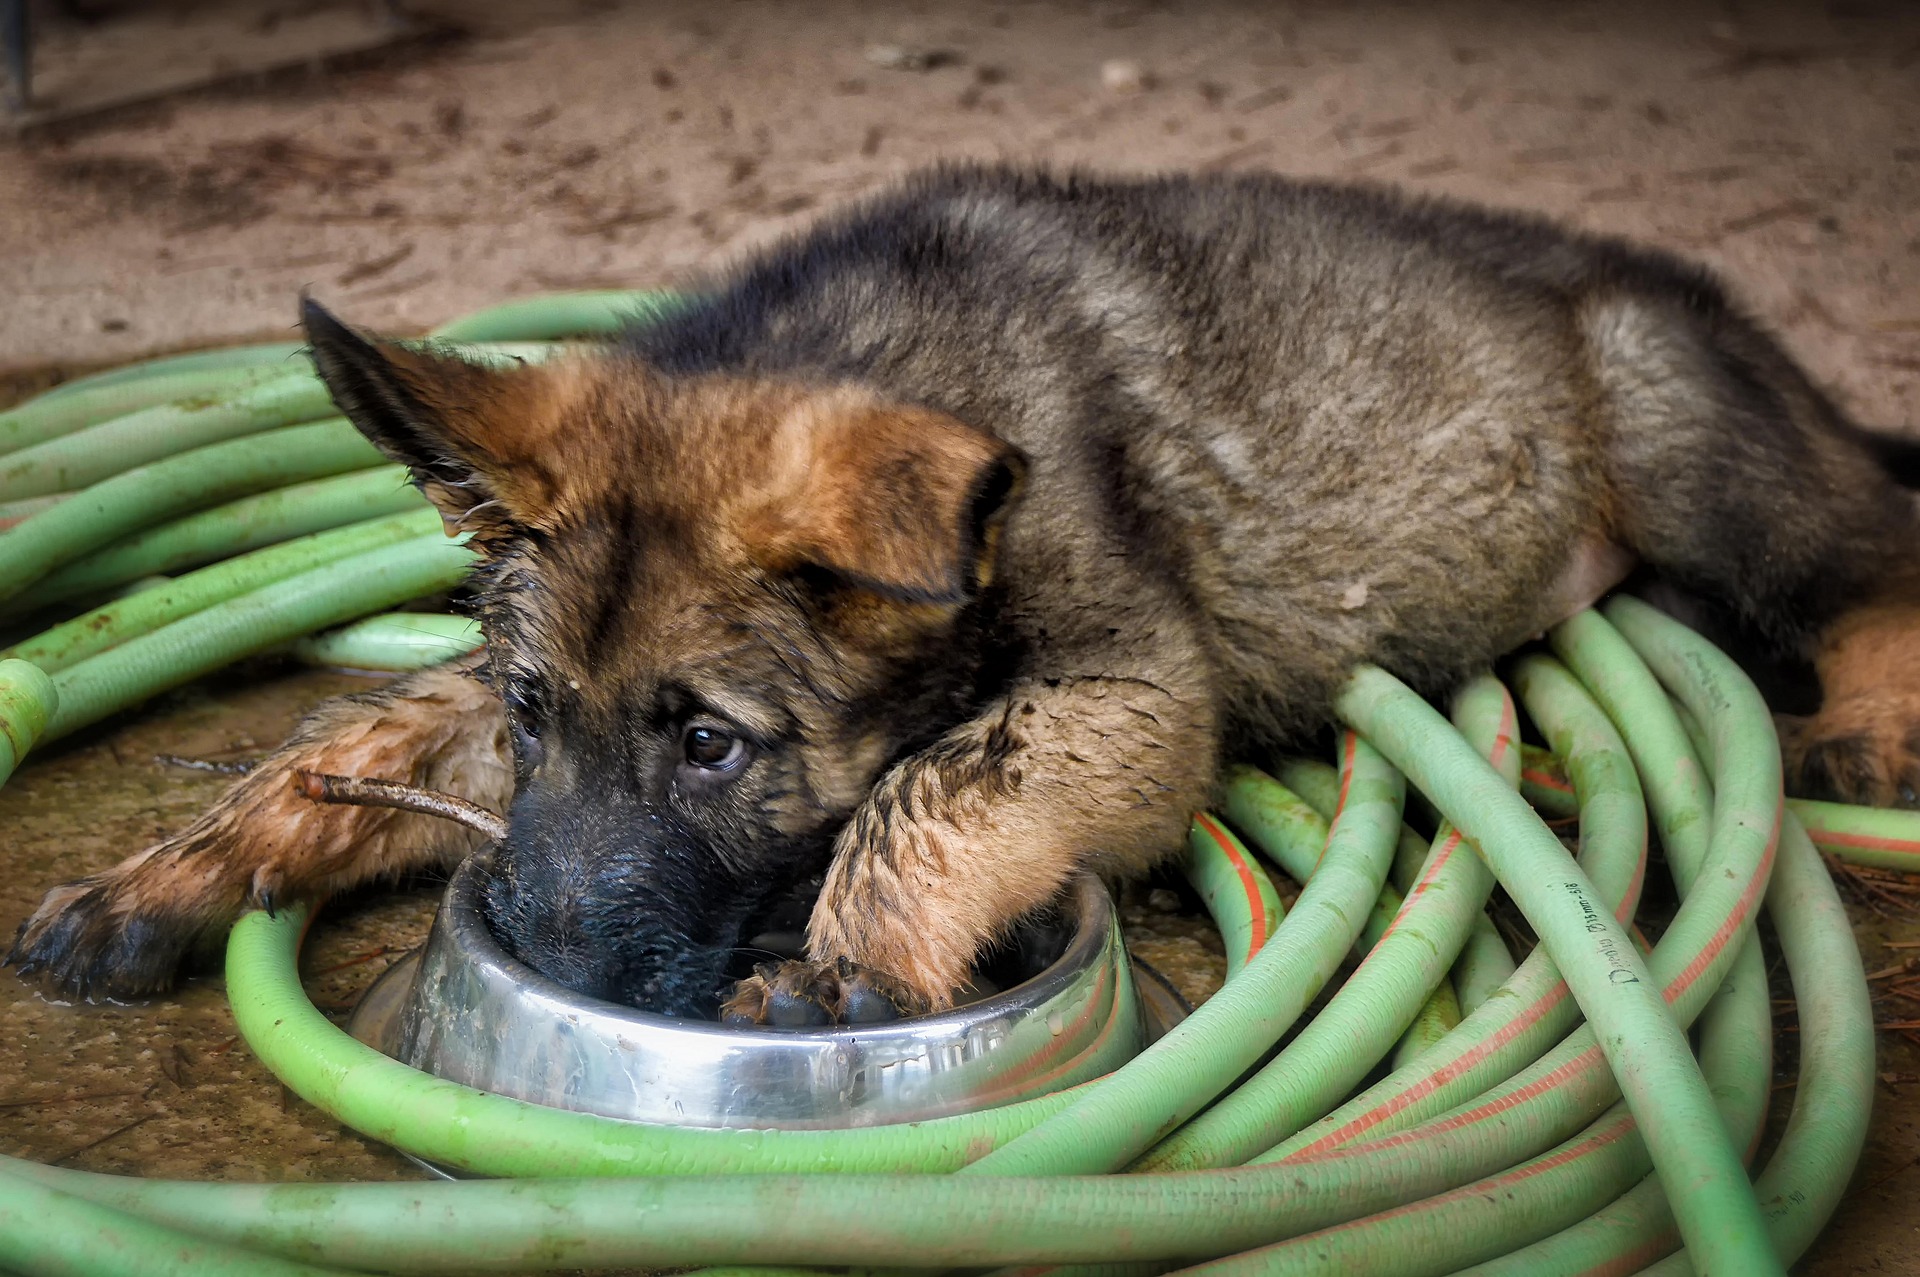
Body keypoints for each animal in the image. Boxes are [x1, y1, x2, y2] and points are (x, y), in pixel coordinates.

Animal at [3, 167, 1920, 1013]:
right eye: (542, 715)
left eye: (713, 746)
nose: (544, 953)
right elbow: (351, 738)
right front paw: (167, 877)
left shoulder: (1133, 688)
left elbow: (939, 782)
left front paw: (850, 964)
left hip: (1682, 434)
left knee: (1869, 551)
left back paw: (1875, 715)